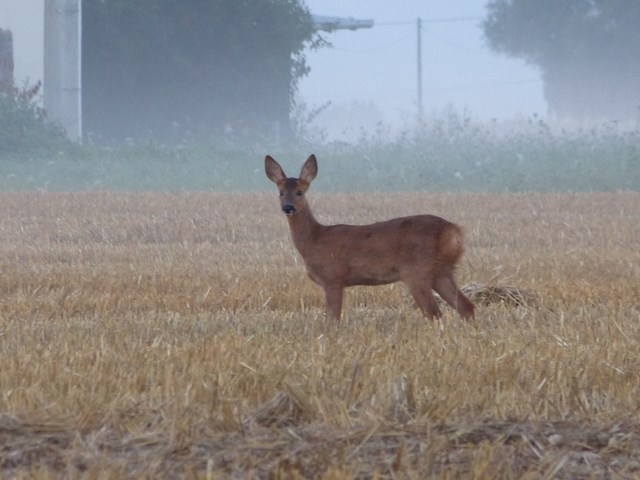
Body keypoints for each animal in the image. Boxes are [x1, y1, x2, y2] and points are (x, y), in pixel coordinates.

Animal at [264, 156, 476, 324]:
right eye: (280, 192)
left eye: (300, 192)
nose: (288, 207)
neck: (314, 239)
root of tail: (454, 231)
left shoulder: (333, 277)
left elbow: (332, 320)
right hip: (442, 271)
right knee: (466, 307)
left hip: (417, 270)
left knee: (434, 313)